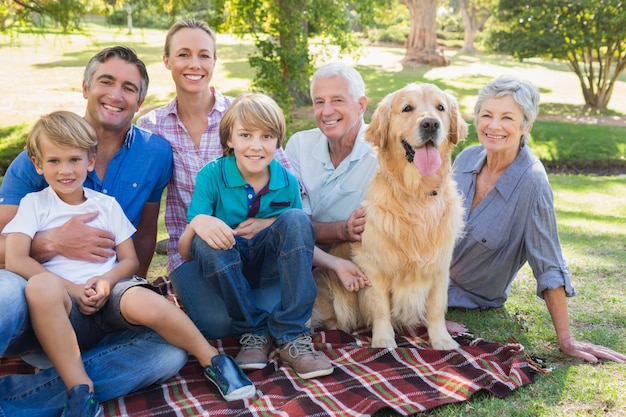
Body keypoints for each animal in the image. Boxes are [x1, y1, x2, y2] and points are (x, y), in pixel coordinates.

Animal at [310, 83, 464, 350]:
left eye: (440, 107)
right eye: (407, 108)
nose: (431, 124)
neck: (416, 195)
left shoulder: (439, 266)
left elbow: (436, 308)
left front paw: (442, 340)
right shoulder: (374, 266)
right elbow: (381, 308)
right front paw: (384, 341)